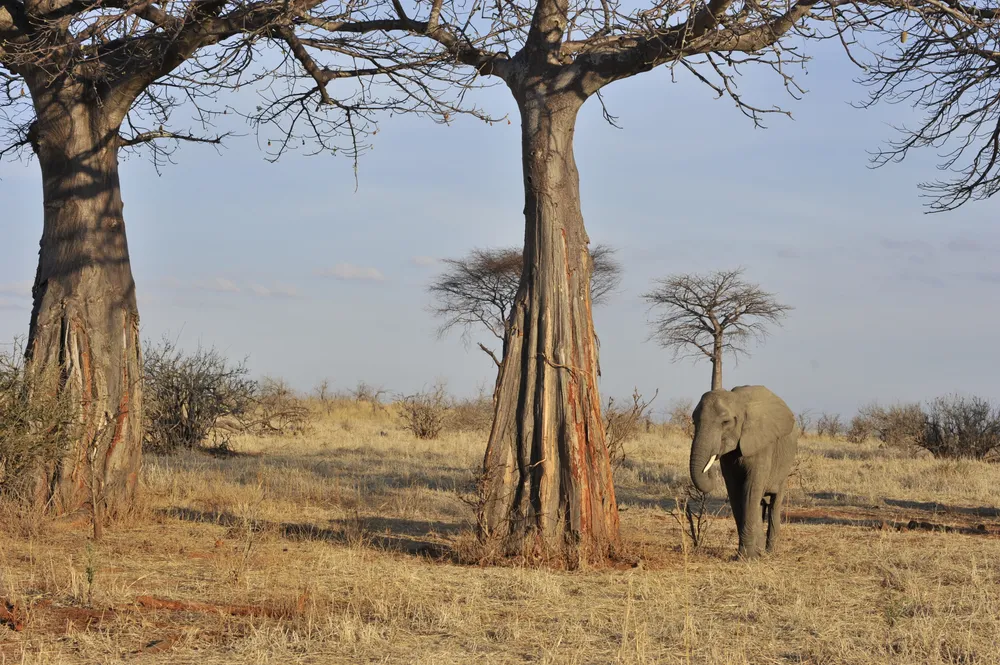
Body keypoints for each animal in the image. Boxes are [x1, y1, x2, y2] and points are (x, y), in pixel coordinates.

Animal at [689, 385, 798, 559]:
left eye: (726, 422)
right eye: (694, 421)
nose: (709, 469)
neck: (738, 402)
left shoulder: (762, 445)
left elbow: (750, 490)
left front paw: (747, 558)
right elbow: (735, 491)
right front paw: (749, 555)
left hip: (784, 467)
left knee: (774, 502)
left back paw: (770, 552)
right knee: (760, 502)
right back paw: (761, 549)